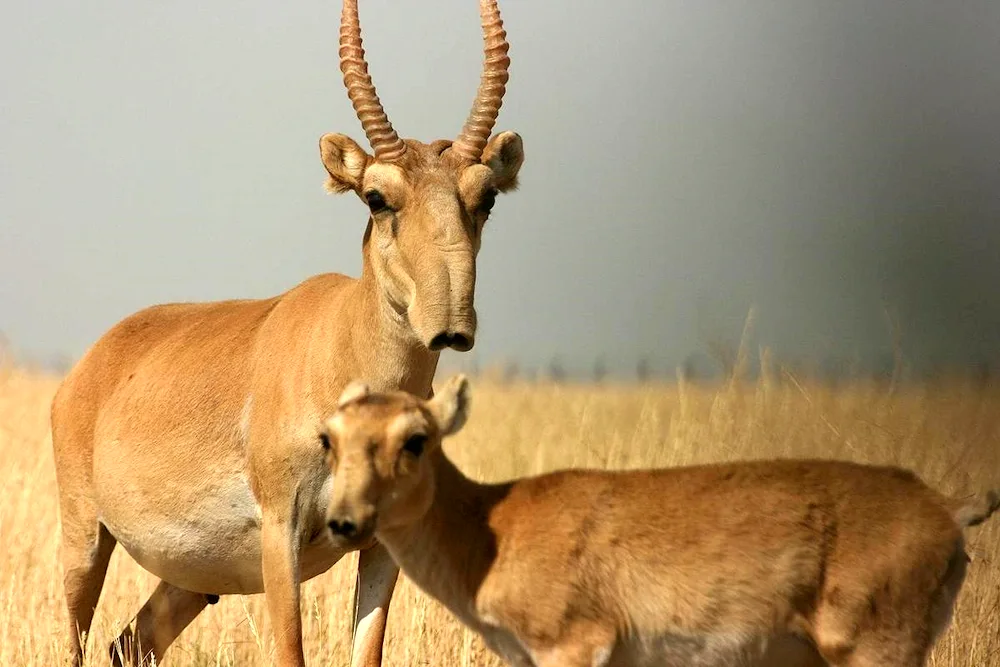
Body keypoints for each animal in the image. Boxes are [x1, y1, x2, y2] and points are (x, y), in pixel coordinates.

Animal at [49, 2, 524, 664]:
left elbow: (367, 650)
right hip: (85, 542)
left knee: (129, 644)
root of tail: (90, 366)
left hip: (187, 583)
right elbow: (290, 650)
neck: (338, 344)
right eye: (376, 197)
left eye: (486, 198)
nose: (450, 323)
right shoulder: (282, 534)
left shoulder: (383, 544)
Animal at [320, 376, 1000, 667]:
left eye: (415, 439)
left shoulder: (576, 647)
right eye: (329, 437)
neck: (493, 525)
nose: (344, 522)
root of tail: (948, 508)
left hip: (875, 651)